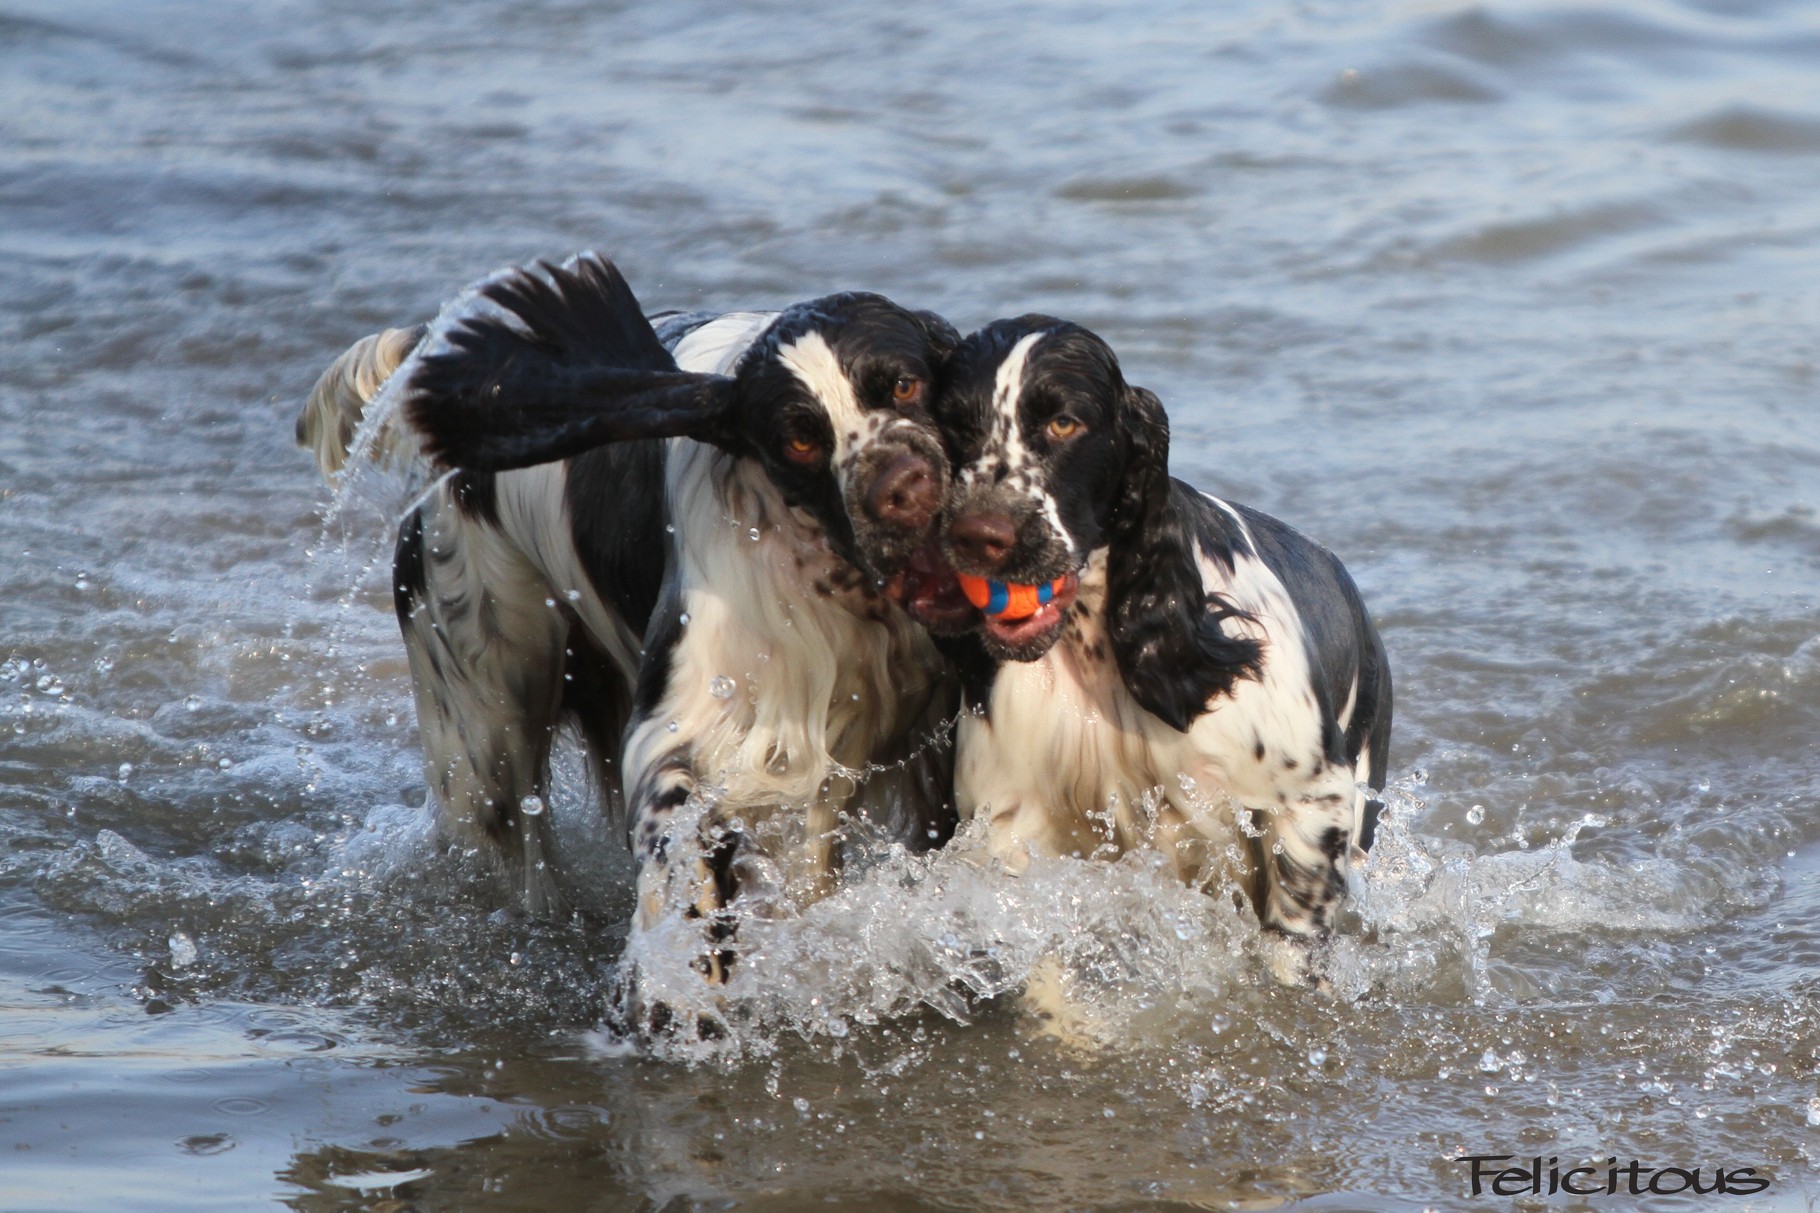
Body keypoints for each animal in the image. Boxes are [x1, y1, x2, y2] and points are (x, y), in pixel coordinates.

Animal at [300, 253, 975, 1019]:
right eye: (800, 436)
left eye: (904, 384)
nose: (902, 487)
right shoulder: (685, 730)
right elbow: (677, 839)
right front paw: (684, 985)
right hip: (483, 731)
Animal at [931, 313, 1397, 983]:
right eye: (956, 425)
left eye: (1064, 422)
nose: (979, 535)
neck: (1095, 646)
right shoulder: (1009, 821)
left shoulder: (1312, 799)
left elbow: (1291, 942)